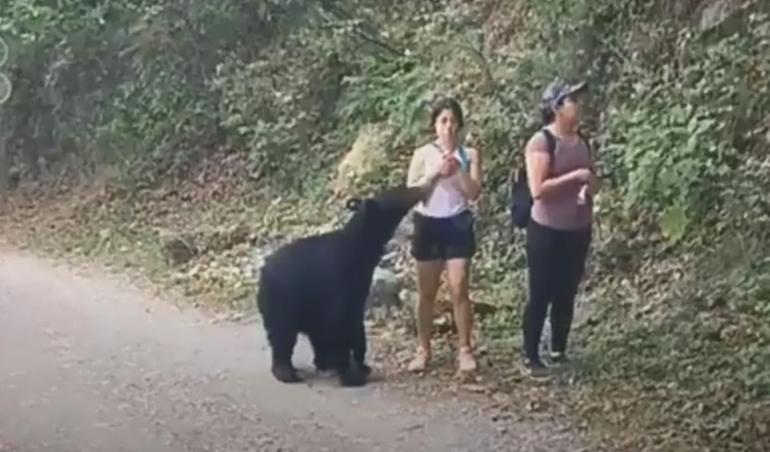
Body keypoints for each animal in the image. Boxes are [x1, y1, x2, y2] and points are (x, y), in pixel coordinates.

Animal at [258, 184, 426, 384]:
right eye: (395, 194)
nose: (416, 189)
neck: (359, 250)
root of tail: (263, 269)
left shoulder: (357, 286)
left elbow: (355, 323)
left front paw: (361, 365)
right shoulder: (338, 282)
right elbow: (339, 324)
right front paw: (351, 375)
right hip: (282, 300)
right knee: (282, 334)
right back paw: (286, 371)